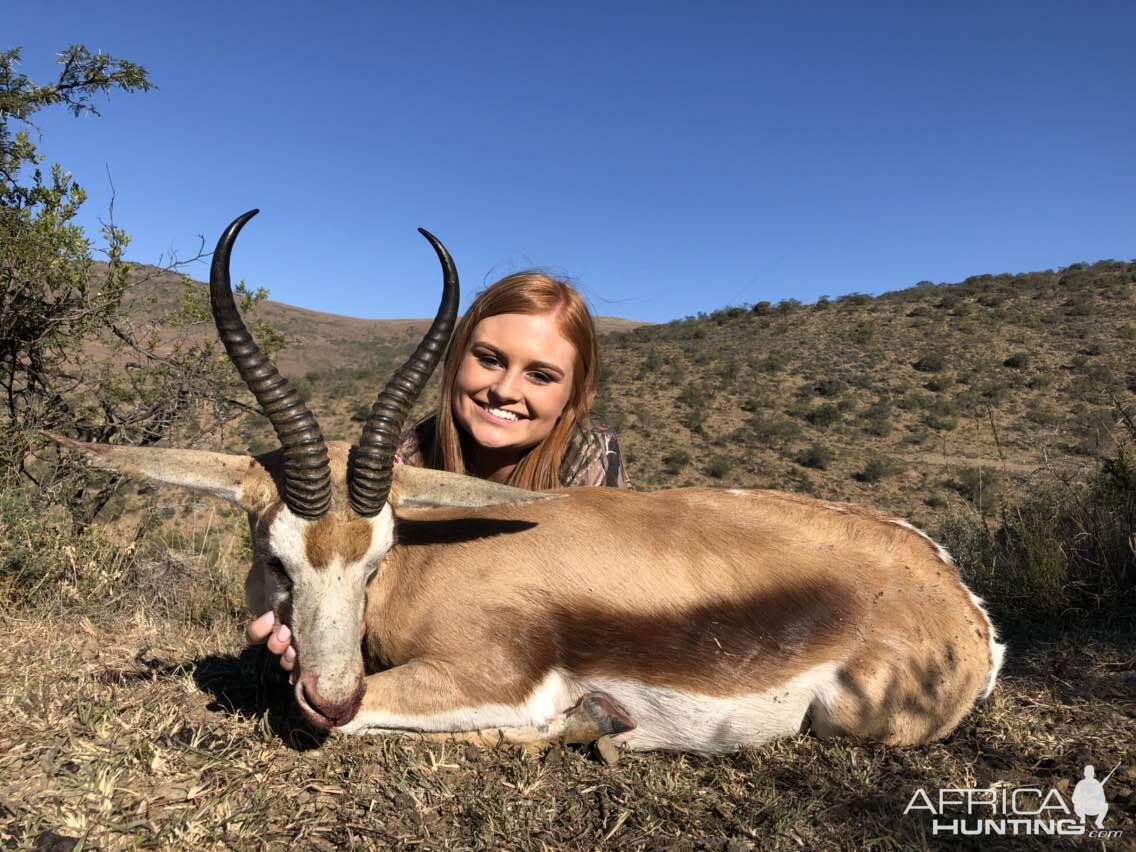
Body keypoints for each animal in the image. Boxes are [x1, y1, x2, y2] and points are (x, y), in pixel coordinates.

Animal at [57, 212, 1008, 754]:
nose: (329, 689)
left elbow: (376, 719)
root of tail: (962, 601)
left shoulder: (487, 676)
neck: (434, 566)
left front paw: (573, 720)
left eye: (376, 561)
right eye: (277, 560)